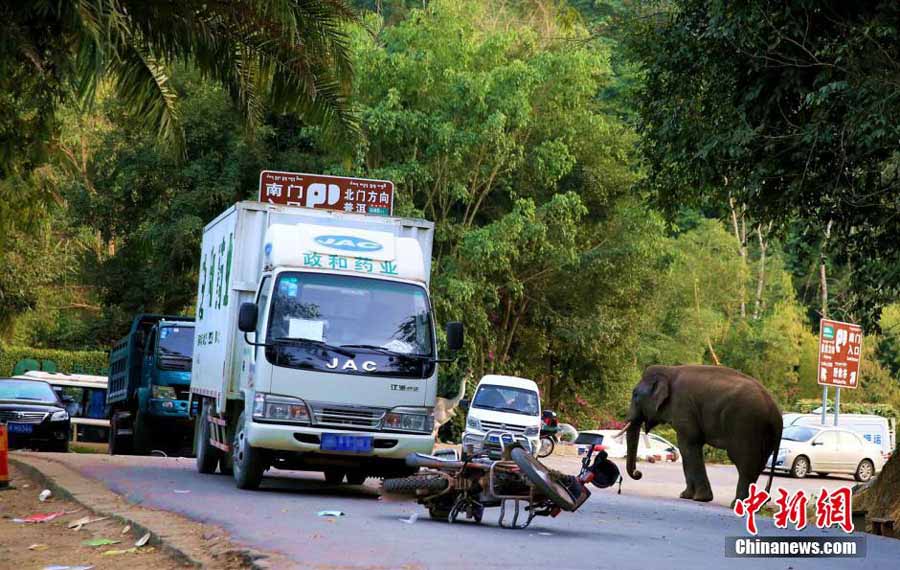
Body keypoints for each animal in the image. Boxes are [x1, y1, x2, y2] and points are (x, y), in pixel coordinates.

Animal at [624, 364, 780, 502]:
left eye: (635, 395)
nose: (638, 473)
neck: (669, 370)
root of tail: (775, 411)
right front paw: (686, 496)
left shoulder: (683, 407)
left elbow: (688, 445)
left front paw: (698, 498)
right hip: (764, 433)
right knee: (758, 464)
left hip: (745, 424)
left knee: (744, 462)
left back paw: (738, 503)